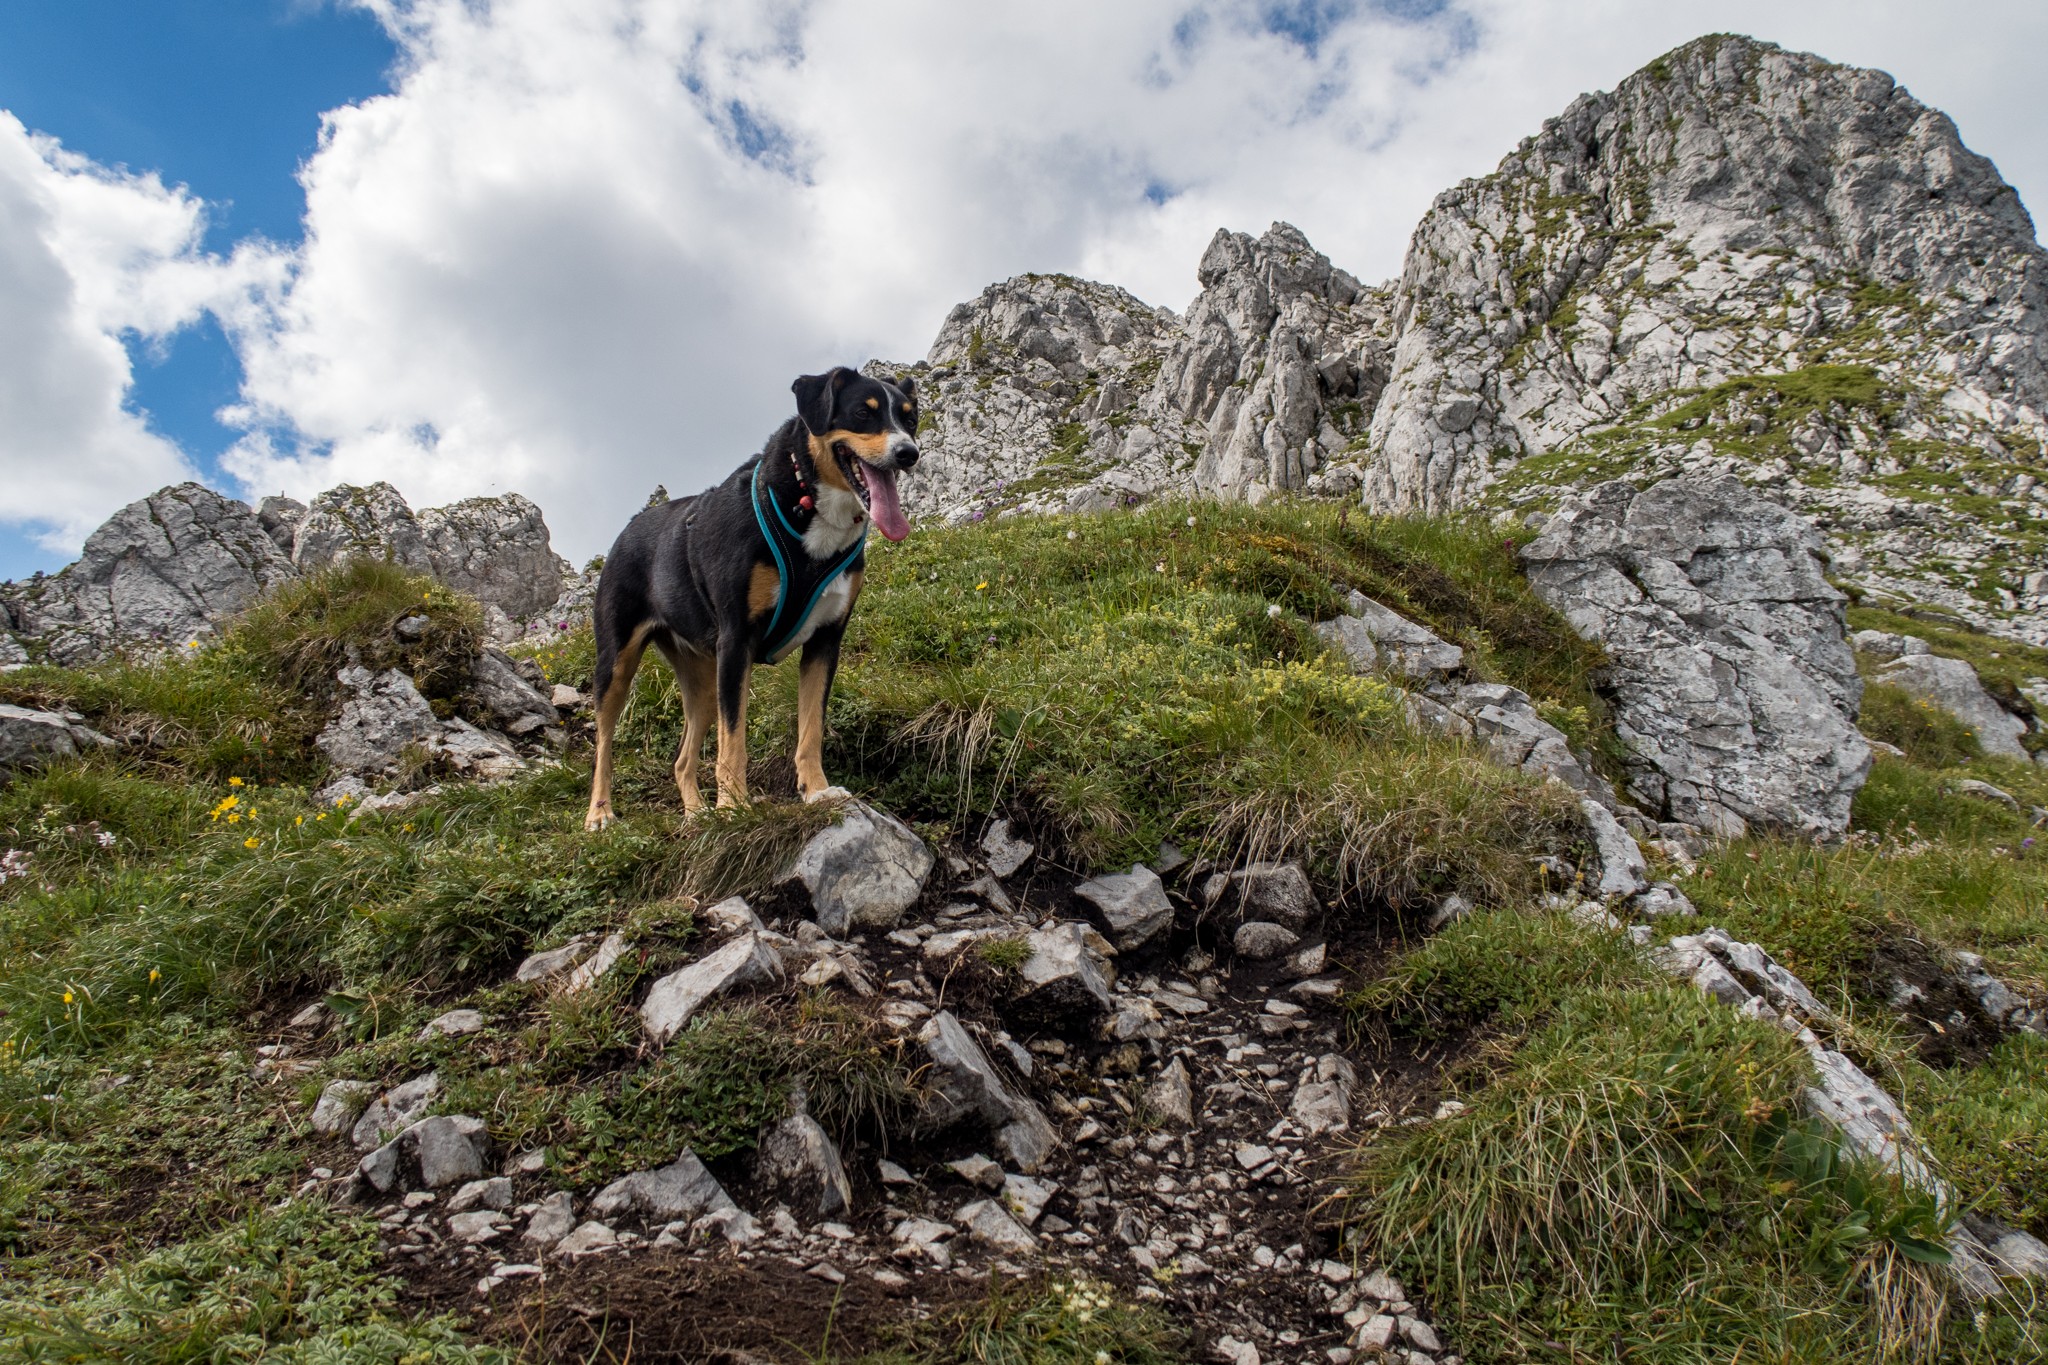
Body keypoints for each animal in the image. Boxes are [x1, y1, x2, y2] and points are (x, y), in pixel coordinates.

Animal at [583, 366, 919, 830]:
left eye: (910, 419)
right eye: (862, 414)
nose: (909, 453)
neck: (808, 509)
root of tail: (630, 526)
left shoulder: (825, 642)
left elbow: (810, 731)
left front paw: (816, 792)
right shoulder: (737, 640)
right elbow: (734, 743)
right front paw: (733, 808)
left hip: (705, 683)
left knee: (682, 760)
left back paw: (697, 815)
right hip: (619, 662)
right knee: (603, 745)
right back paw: (600, 813)